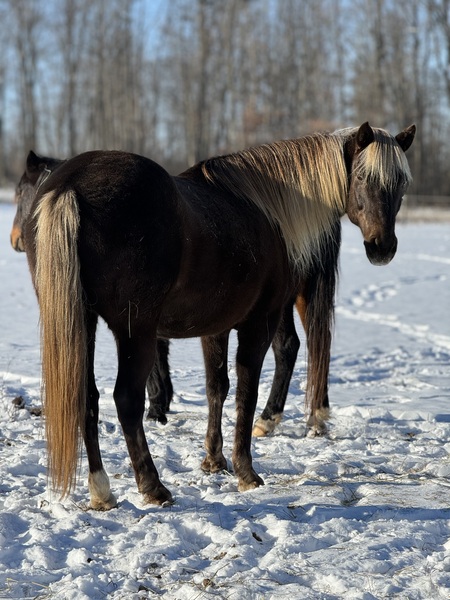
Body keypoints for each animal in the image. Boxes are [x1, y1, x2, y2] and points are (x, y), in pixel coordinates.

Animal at [12, 149, 340, 436]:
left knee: (299, 345)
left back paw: (288, 418)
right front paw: (162, 403)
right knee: (303, 344)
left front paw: (157, 407)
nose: (15, 239)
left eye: (19, 193)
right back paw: (308, 416)